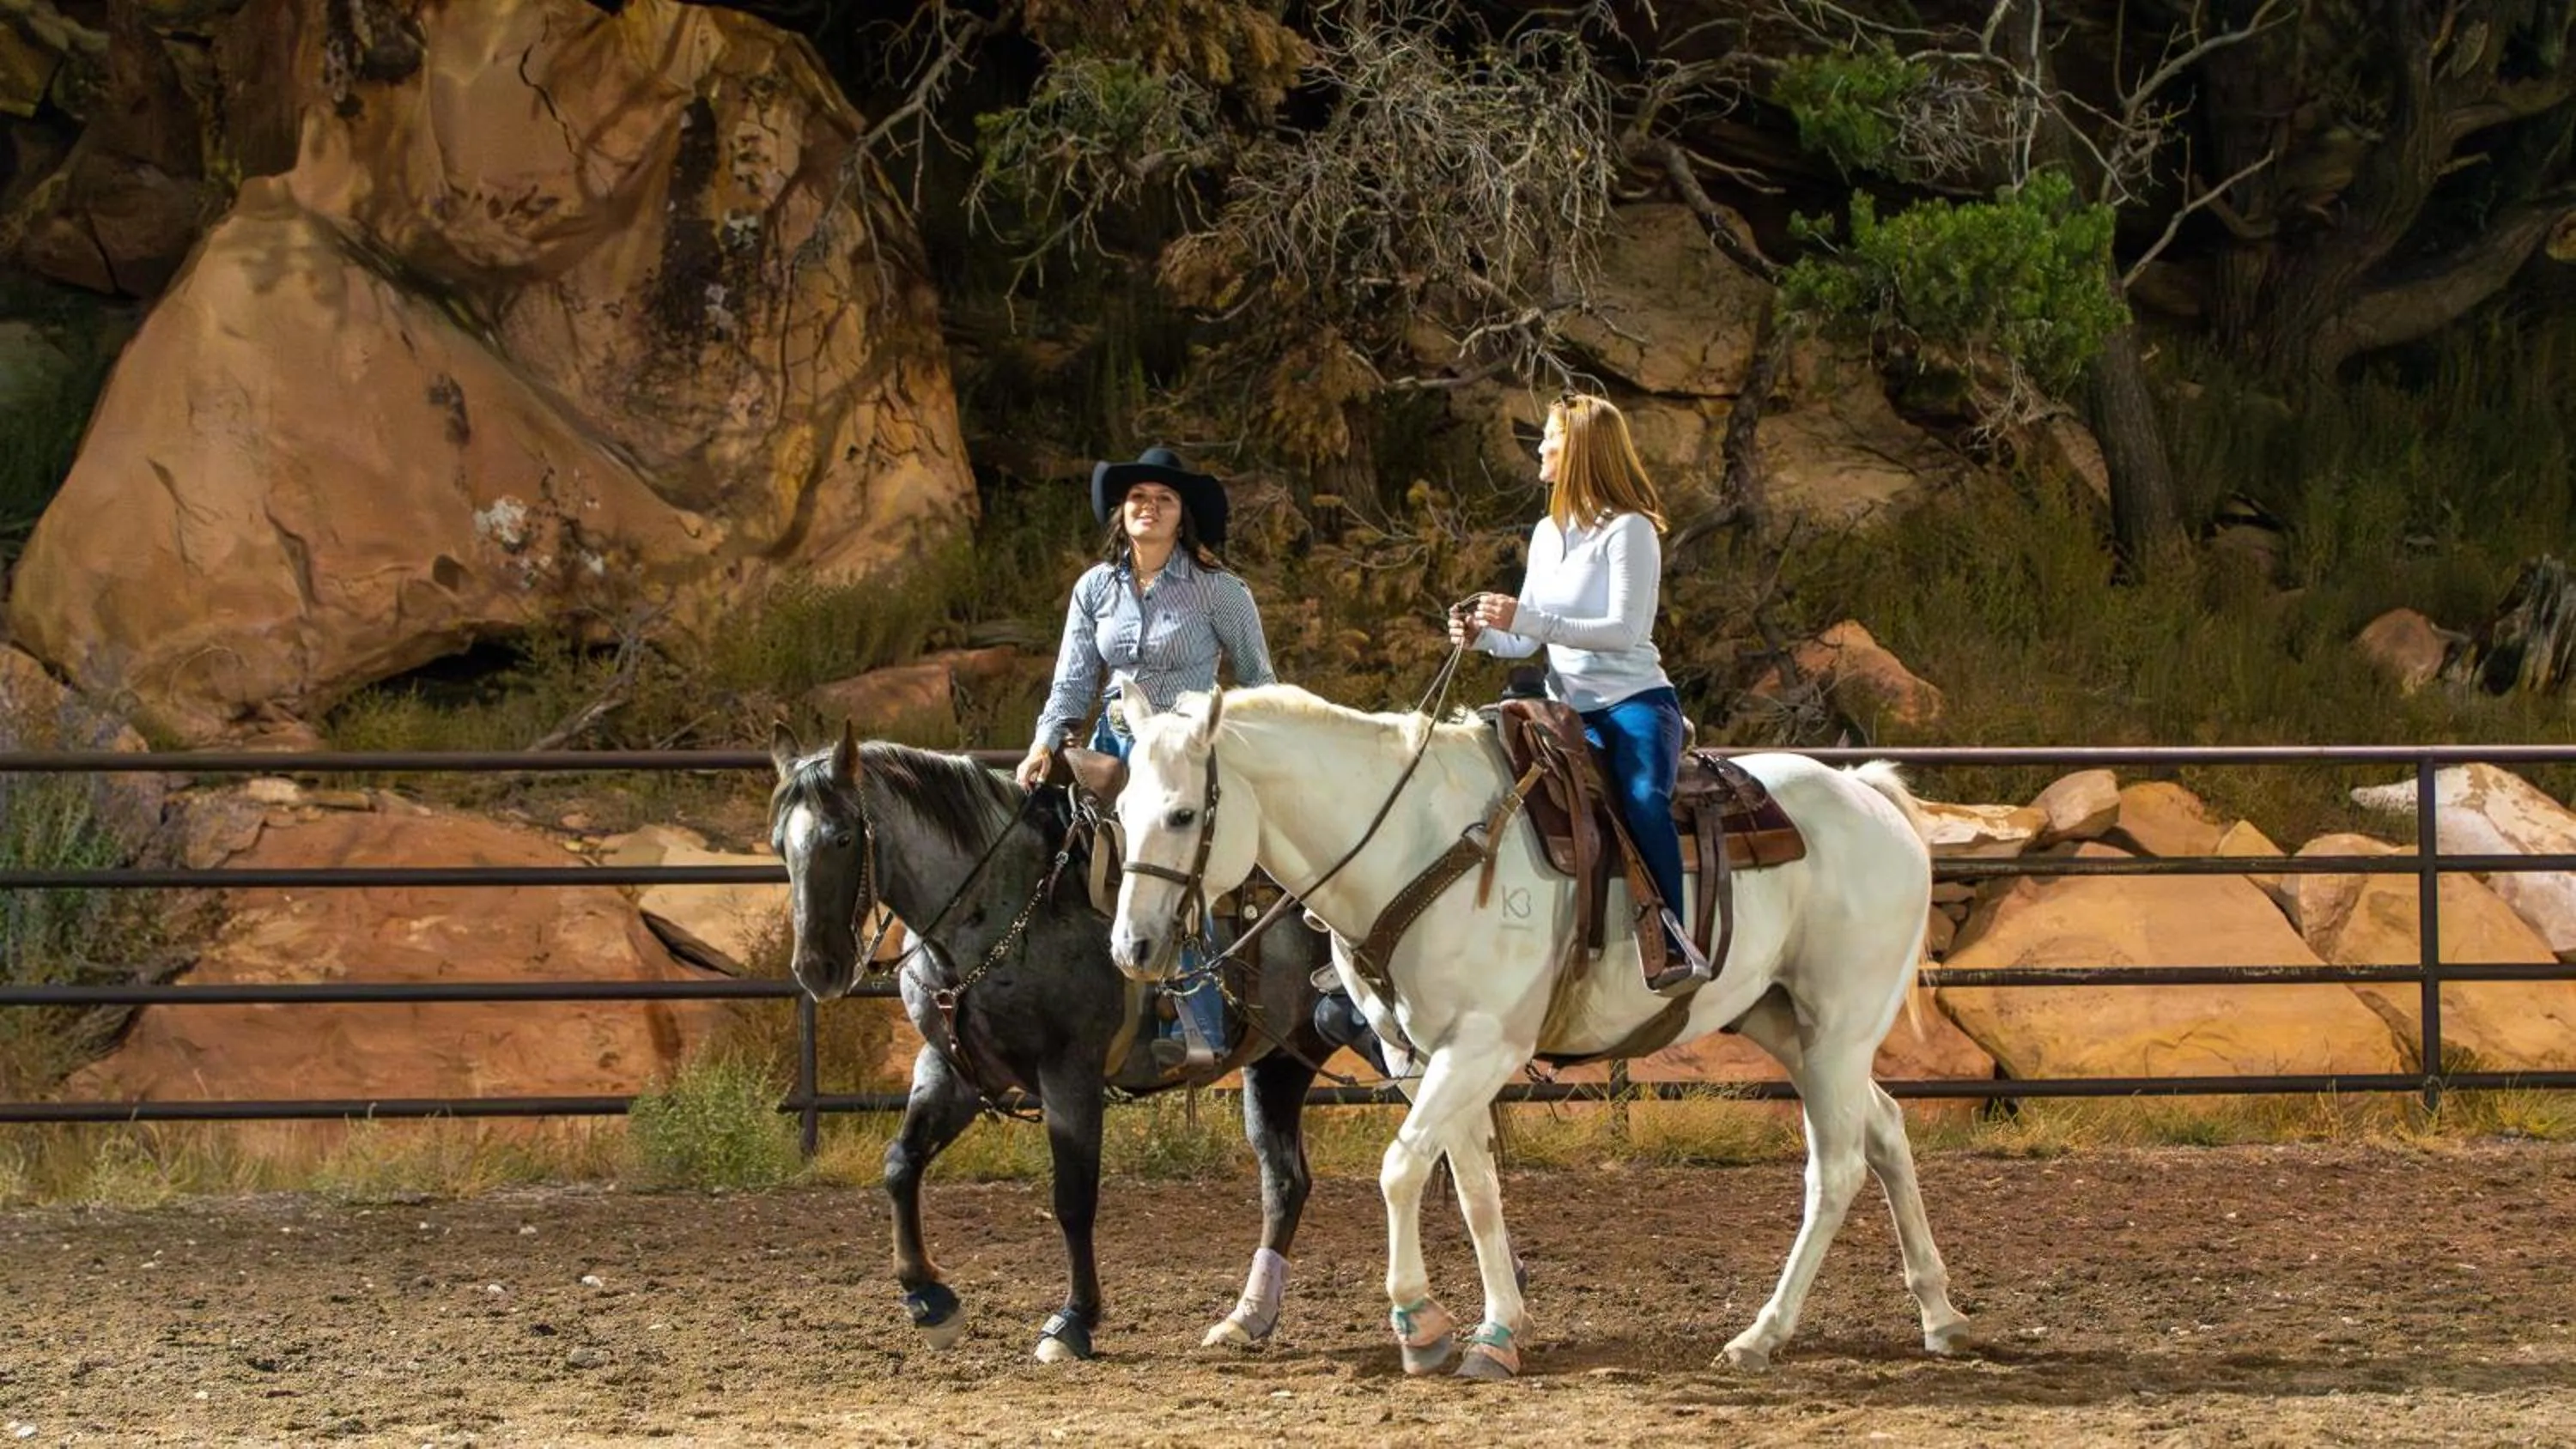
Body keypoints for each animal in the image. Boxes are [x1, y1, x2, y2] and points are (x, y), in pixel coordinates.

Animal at [766, 722, 1371, 1363]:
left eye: (841, 837)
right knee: (1284, 1182)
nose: (817, 968)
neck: (1006, 903)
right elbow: (901, 1164)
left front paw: (1073, 1319)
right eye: (780, 843)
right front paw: (930, 1301)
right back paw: (1246, 1318)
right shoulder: (951, 1069)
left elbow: (1073, 1199)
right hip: (1279, 1060)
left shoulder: (1069, 1072)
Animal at [1100, 685, 1971, 1379]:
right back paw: (1939, 1313)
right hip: (1786, 1022)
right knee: (1887, 1130)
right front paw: (1495, 1332)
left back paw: (1762, 1335)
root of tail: (1867, 795)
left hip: (1838, 1028)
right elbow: (1474, 1187)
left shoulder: (1484, 1047)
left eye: (1183, 814)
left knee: (1836, 1170)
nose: (1132, 948)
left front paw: (1418, 1325)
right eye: (1120, 812)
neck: (1410, 846)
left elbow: (1401, 1169)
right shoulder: (1419, 1055)